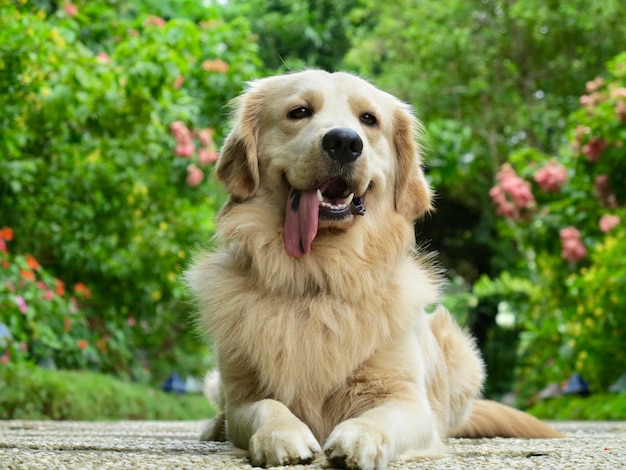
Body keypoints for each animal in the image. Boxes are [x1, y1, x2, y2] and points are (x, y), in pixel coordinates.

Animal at [185, 70, 560, 470]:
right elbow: (263, 406)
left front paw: (360, 437)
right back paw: (213, 427)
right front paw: (280, 434)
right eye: (299, 111)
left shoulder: (407, 398)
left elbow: (383, 416)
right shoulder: (243, 394)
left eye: (369, 119)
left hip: (463, 355)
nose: (344, 142)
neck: (322, 274)